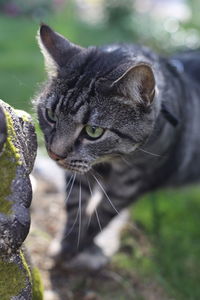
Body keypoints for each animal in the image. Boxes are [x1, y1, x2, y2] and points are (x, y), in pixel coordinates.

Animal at [34, 24, 200, 270]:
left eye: (93, 131)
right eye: (51, 115)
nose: (55, 154)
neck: (109, 162)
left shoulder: (129, 184)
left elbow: (101, 216)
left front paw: (78, 248)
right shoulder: (81, 176)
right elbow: (75, 206)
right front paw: (66, 243)